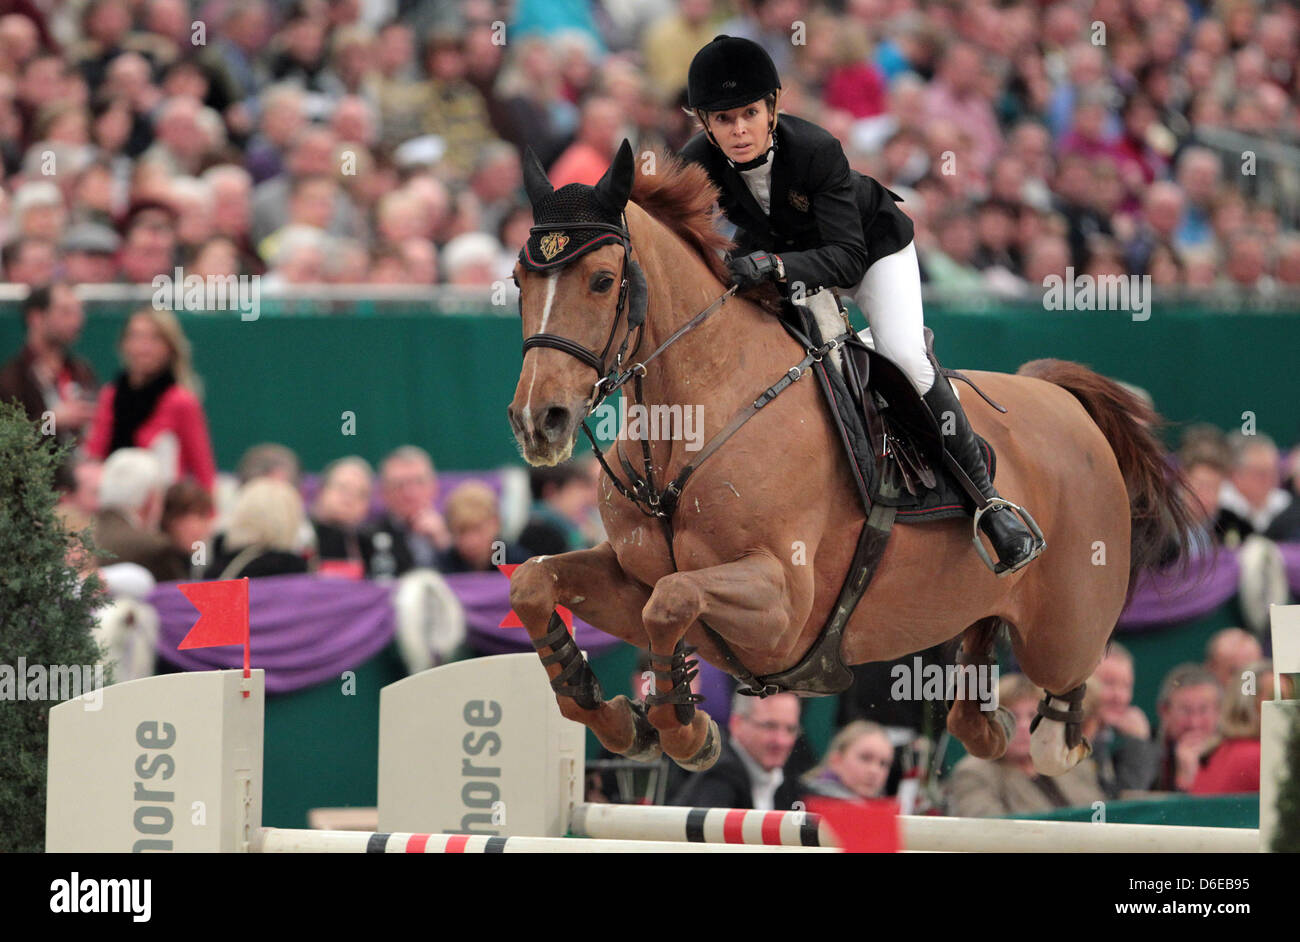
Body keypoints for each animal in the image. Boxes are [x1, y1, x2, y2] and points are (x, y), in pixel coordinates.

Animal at [501, 144, 1190, 779]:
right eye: (518, 281)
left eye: (601, 281)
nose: (539, 421)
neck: (689, 424)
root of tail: (1063, 400)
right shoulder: (631, 577)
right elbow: (536, 583)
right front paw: (622, 720)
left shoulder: (782, 607)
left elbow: (670, 600)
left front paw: (685, 732)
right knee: (980, 663)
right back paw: (987, 722)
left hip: (1065, 626)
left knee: (1065, 684)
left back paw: (1051, 723)